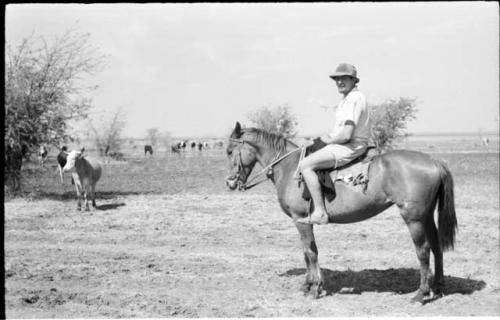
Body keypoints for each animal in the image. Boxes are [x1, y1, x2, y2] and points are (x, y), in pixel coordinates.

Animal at [226, 122, 458, 302]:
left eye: (229, 151)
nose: (229, 182)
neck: (291, 167)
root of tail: (433, 161)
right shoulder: (302, 222)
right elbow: (307, 253)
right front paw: (308, 285)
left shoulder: (300, 220)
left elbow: (310, 253)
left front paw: (314, 288)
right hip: (426, 215)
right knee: (436, 247)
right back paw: (438, 288)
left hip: (413, 218)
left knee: (423, 250)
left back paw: (421, 293)